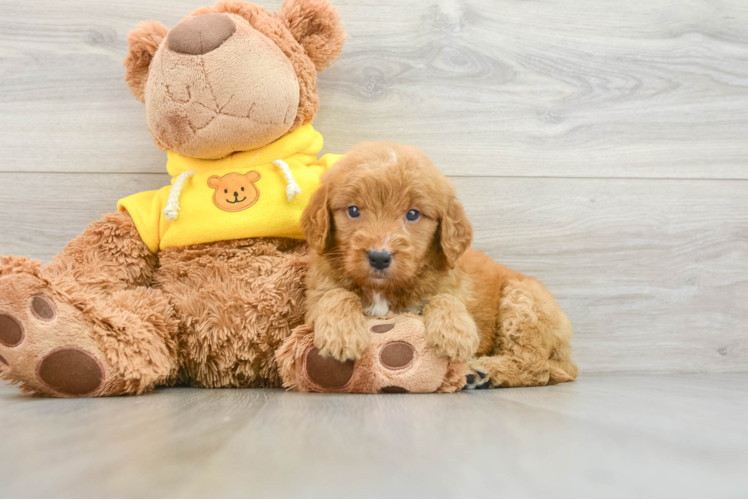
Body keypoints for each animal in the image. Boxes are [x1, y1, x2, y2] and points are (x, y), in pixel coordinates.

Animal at [300, 143, 580, 388]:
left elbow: (443, 297)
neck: (385, 289)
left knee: (534, 364)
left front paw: (454, 332)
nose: (379, 257)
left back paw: (483, 371)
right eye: (353, 210)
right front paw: (341, 333)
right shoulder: (316, 296)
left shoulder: (451, 284)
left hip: (523, 301)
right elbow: (337, 294)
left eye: (413, 214)